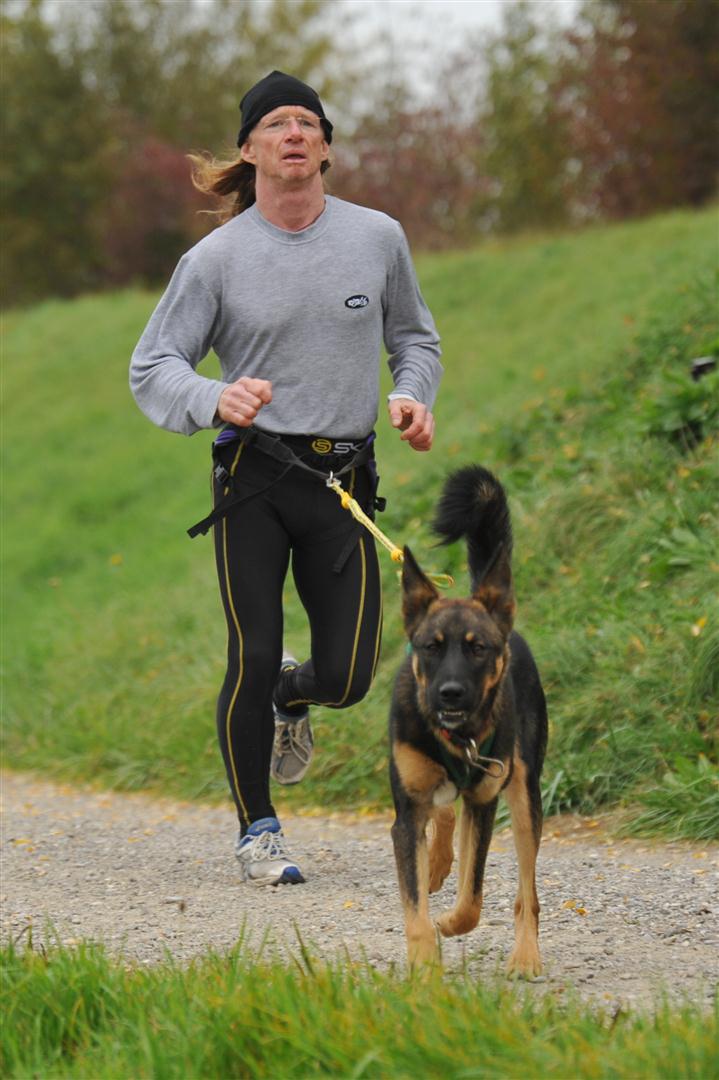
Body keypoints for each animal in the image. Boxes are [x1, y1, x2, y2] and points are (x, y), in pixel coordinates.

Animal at [389, 465, 547, 975]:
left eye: (478, 648)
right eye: (431, 646)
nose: (451, 693)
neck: (454, 738)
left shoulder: (484, 801)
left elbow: (473, 900)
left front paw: (448, 924)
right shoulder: (405, 815)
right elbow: (416, 911)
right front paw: (424, 968)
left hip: (524, 794)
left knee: (526, 893)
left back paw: (525, 955)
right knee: (442, 813)